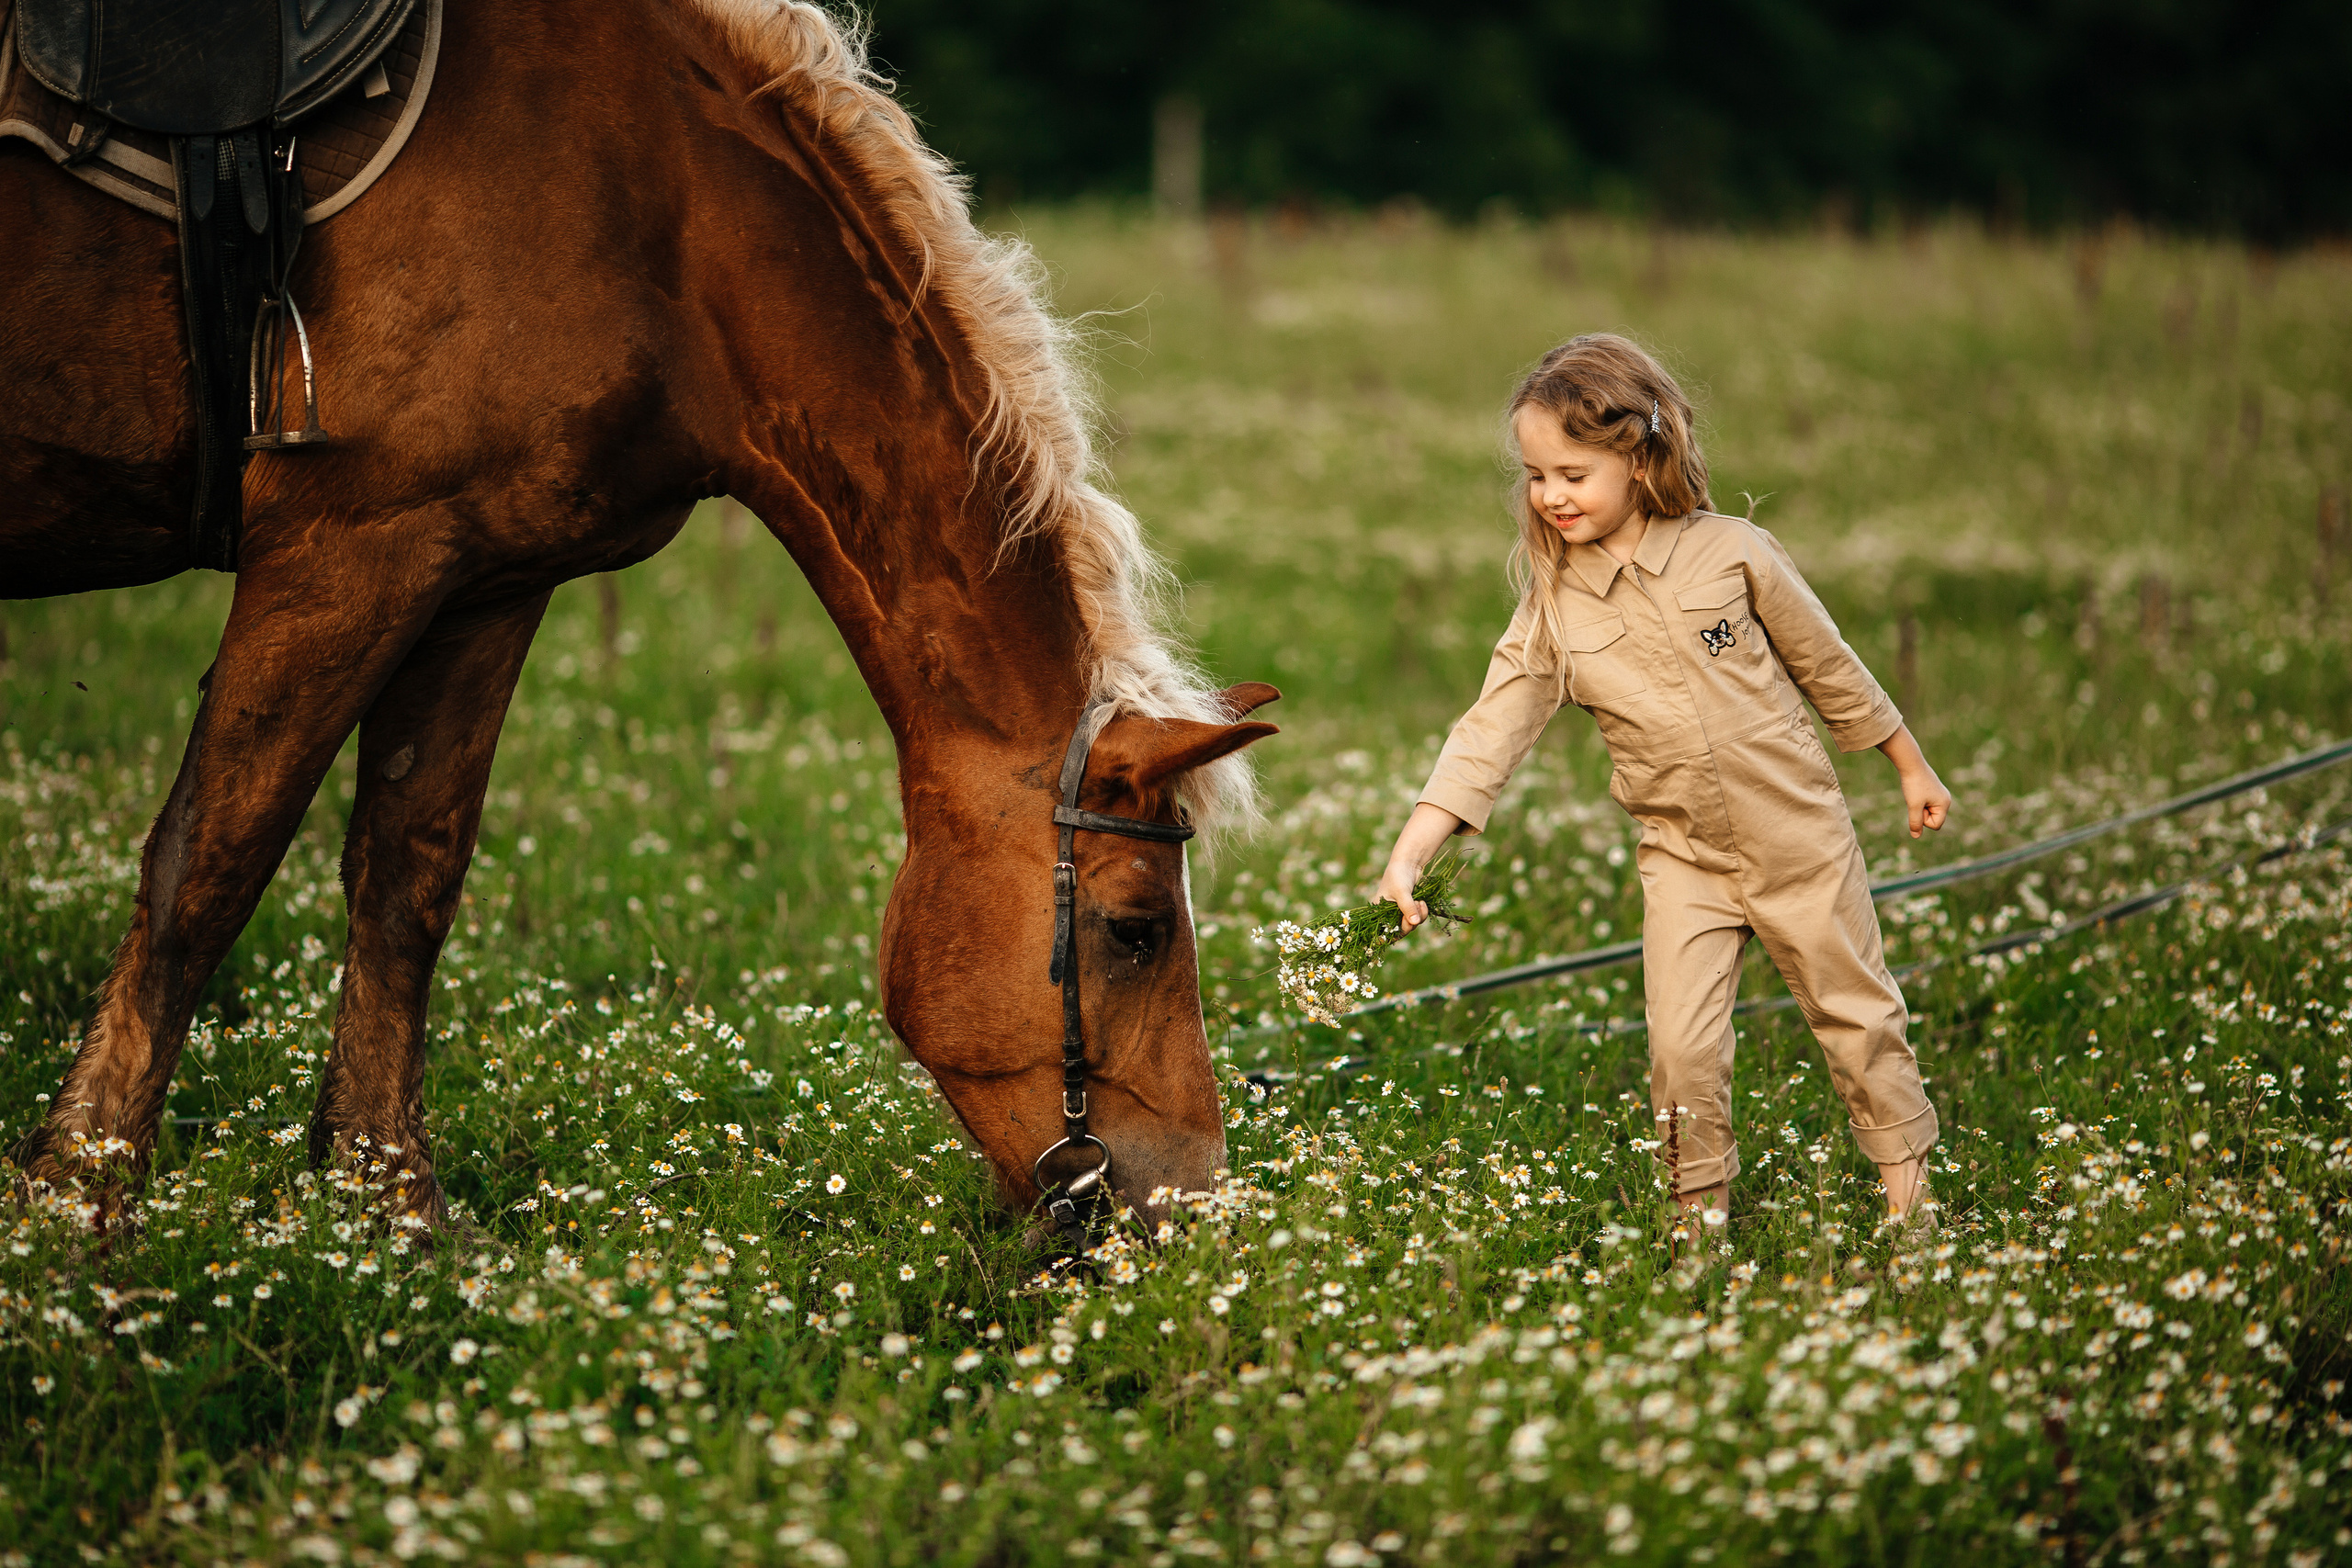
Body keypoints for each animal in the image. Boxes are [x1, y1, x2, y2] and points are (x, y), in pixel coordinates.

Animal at [0, 0, 1279, 1234]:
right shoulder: (341, 551)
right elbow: (207, 870)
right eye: (1135, 929)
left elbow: (408, 881)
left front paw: (392, 1214)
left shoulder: (476, 579)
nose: (1186, 1202)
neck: (655, 200)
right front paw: (77, 1207)